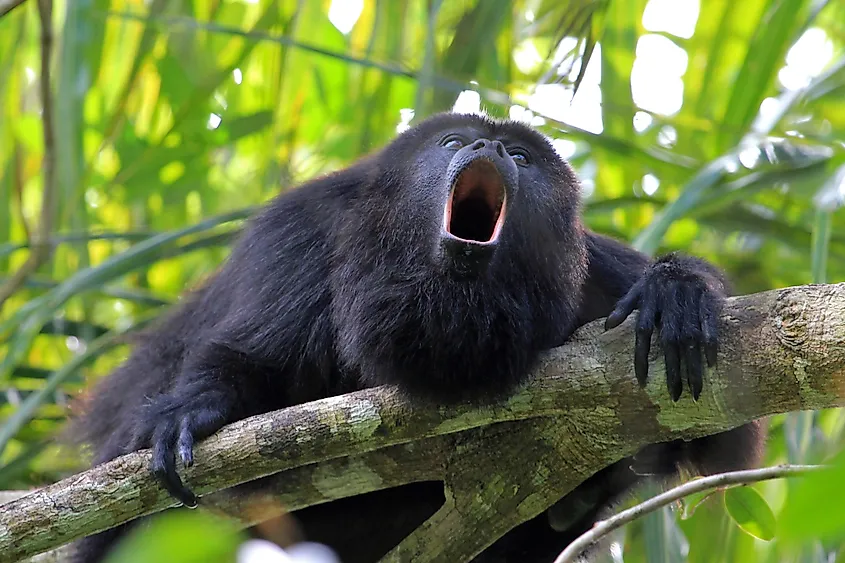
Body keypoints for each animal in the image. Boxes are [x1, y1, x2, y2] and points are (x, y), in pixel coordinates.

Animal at [69, 113, 760, 563]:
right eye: (453, 141)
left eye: (522, 157)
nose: (489, 144)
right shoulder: (300, 233)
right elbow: (248, 358)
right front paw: (194, 409)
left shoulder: (593, 272)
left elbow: (722, 436)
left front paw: (676, 292)